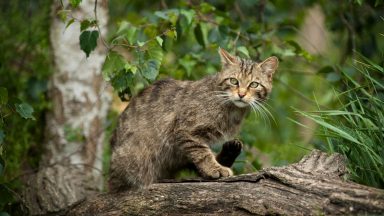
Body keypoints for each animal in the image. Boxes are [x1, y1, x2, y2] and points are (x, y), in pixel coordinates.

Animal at [109, 47, 278, 191]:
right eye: (233, 81)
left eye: (254, 84)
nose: (241, 94)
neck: (232, 110)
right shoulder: (186, 130)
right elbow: (202, 153)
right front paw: (214, 168)